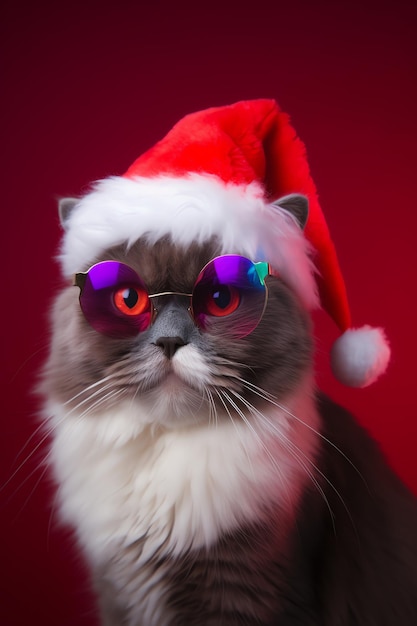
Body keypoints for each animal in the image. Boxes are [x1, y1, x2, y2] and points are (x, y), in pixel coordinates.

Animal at [39, 100, 416, 620]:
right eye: (128, 300)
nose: (170, 341)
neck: (165, 459)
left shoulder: (245, 588)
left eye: (220, 299)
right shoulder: (117, 590)